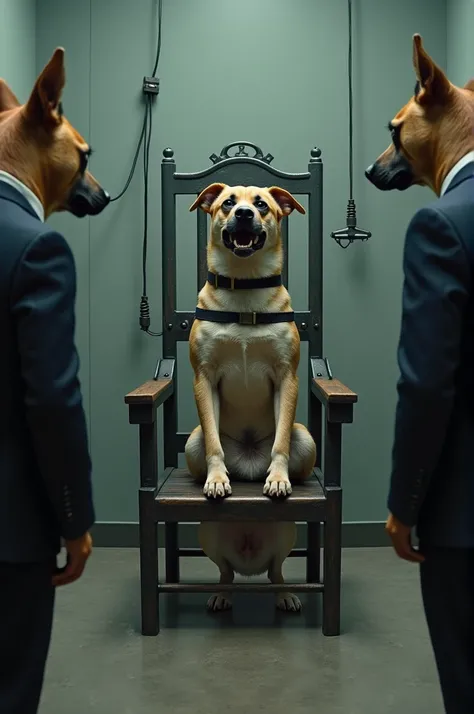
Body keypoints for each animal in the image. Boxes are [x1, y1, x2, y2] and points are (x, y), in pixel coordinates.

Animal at [184, 181, 314, 608]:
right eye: (228, 203)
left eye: (262, 205)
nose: (243, 214)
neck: (243, 291)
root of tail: (248, 465)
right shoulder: (204, 378)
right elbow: (213, 443)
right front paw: (216, 478)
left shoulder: (286, 377)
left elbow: (280, 441)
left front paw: (278, 477)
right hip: (193, 460)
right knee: (225, 570)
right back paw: (222, 594)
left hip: (305, 449)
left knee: (276, 570)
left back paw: (285, 594)